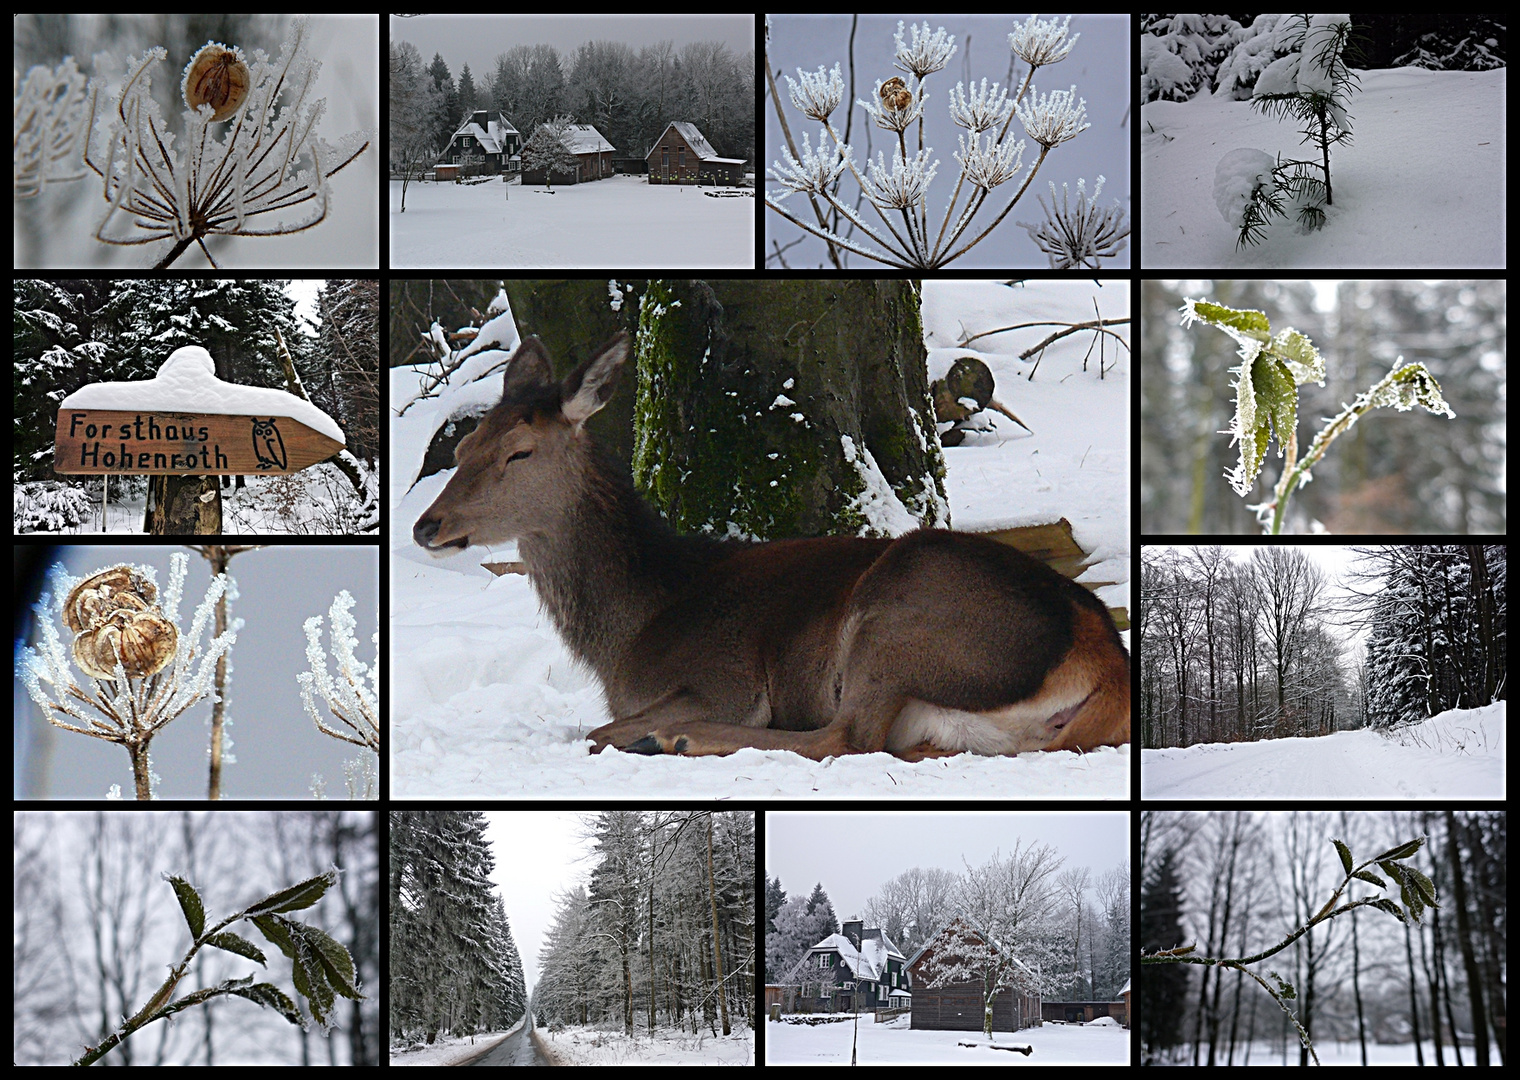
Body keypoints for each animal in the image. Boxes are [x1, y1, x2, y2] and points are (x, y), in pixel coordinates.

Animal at [416, 329, 1130, 759]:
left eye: (519, 452)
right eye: (463, 445)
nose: (427, 525)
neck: (627, 630)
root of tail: (1105, 662)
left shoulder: (723, 680)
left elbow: (599, 725)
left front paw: (651, 731)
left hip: (901, 612)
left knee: (843, 736)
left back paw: (674, 737)